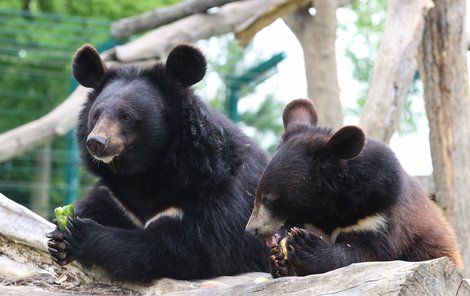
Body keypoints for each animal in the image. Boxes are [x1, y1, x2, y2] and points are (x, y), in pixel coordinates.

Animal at [47, 42, 270, 280]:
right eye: (96, 115)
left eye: (126, 116)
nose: (96, 142)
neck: (145, 170)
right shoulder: (118, 197)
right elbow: (98, 205)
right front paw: (59, 239)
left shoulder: (221, 195)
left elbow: (190, 246)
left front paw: (81, 233)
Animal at [246, 99, 462, 278]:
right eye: (256, 194)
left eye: (269, 199)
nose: (251, 230)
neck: (327, 209)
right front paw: (279, 261)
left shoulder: (378, 215)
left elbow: (367, 254)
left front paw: (304, 244)